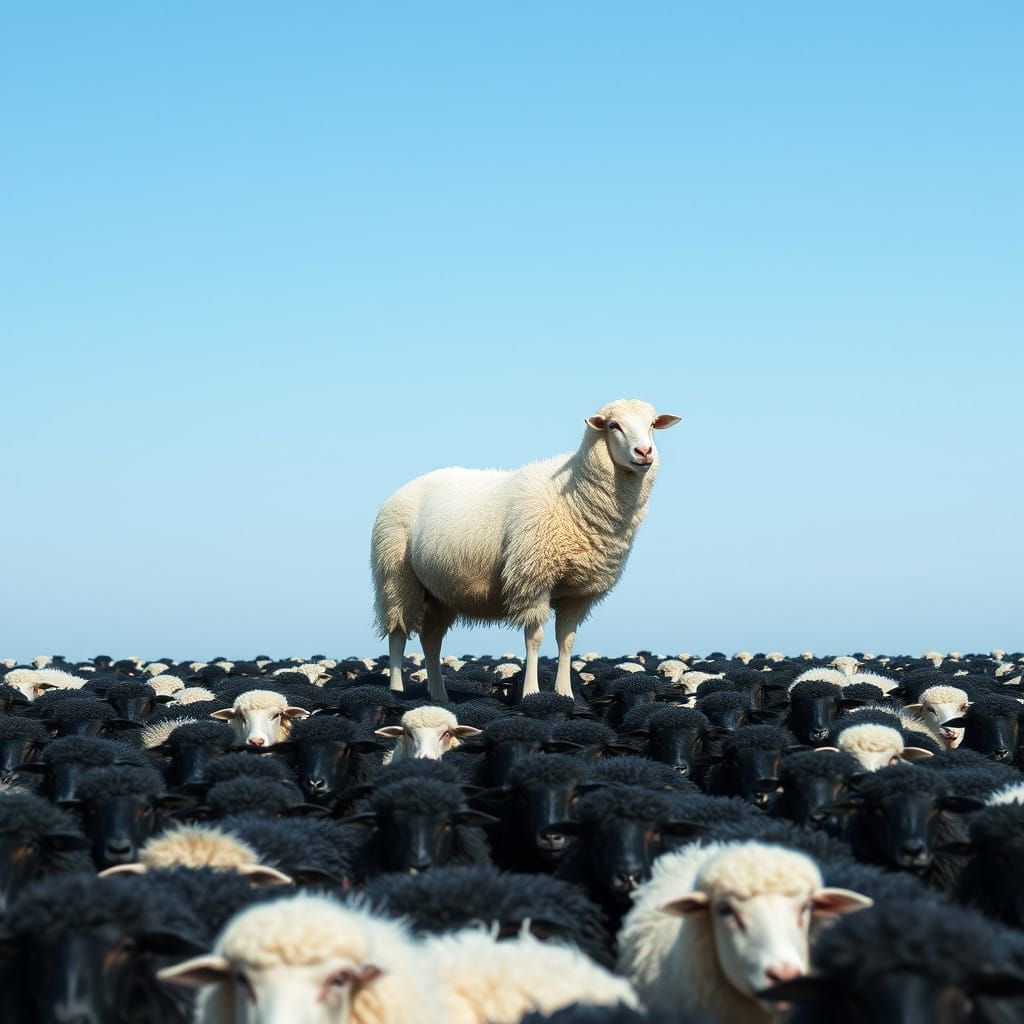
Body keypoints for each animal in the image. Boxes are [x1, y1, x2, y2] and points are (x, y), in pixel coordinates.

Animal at [372, 399, 680, 702]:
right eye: (614, 425)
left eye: (652, 424)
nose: (645, 452)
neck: (573, 497)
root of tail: (402, 489)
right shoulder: (533, 578)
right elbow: (535, 638)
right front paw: (531, 692)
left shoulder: (577, 594)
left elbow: (566, 641)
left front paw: (565, 693)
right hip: (396, 578)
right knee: (398, 635)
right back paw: (397, 690)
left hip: (439, 592)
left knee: (431, 640)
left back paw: (439, 696)